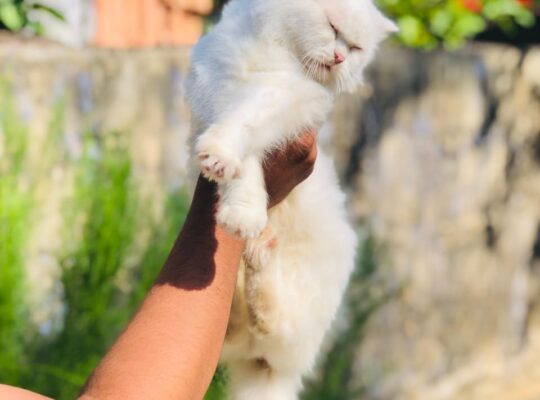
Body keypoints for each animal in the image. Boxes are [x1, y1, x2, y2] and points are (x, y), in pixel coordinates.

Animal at [186, 0, 396, 396]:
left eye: (356, 48)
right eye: (333, 27)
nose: (340, 57)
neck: (278, 51)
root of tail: (262, 368)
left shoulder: (287, 100)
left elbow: (246, 124)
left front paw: (231, 185)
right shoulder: (218, 84)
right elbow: (243, 165)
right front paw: (236, 198)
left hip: (304, 316)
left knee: (275, 327)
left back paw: (261, 255)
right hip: (239, 335)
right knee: (241, 328)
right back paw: (256, 251)